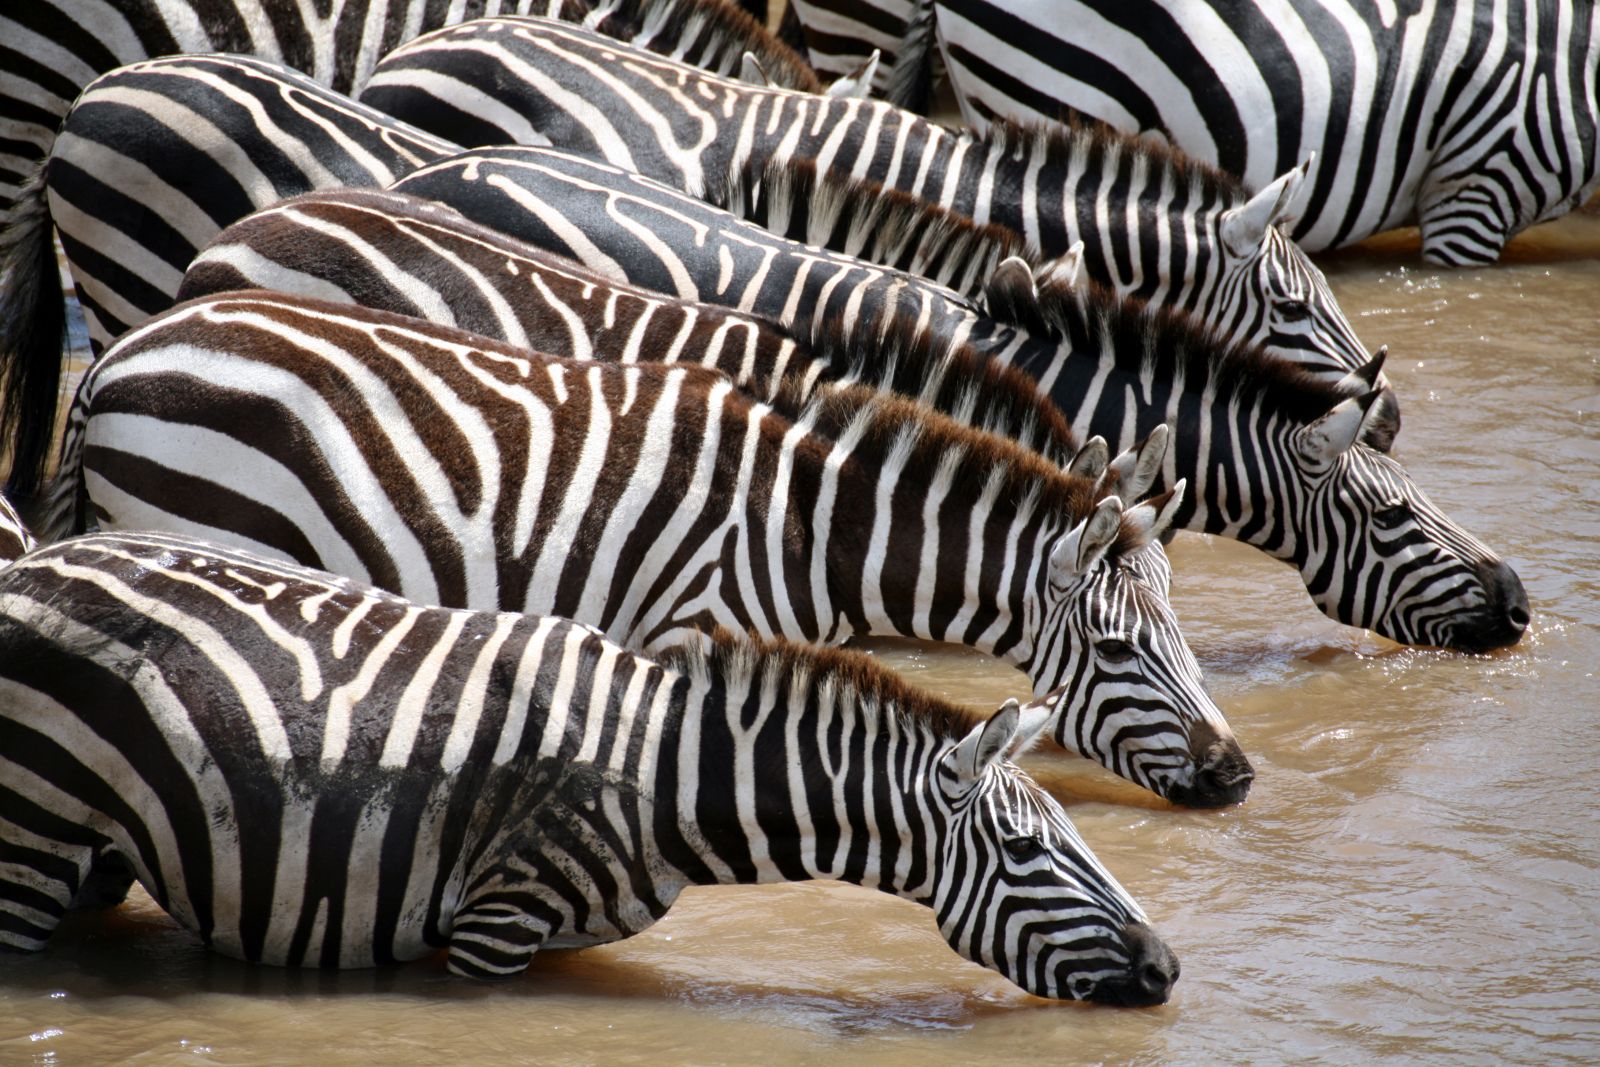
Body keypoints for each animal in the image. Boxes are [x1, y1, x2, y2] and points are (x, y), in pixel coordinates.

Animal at [0, 528, 1178, 1002]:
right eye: (1027, 850)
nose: (1169, 970)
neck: (669, 779)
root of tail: (40, 558)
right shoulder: (494, 926)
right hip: (32, 832)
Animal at [46, 288, 1253, 807]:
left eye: (1178, 631)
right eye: (1117, 649)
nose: (1237, 776)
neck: (807, 525)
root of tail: (118, 355)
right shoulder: (691, 636)